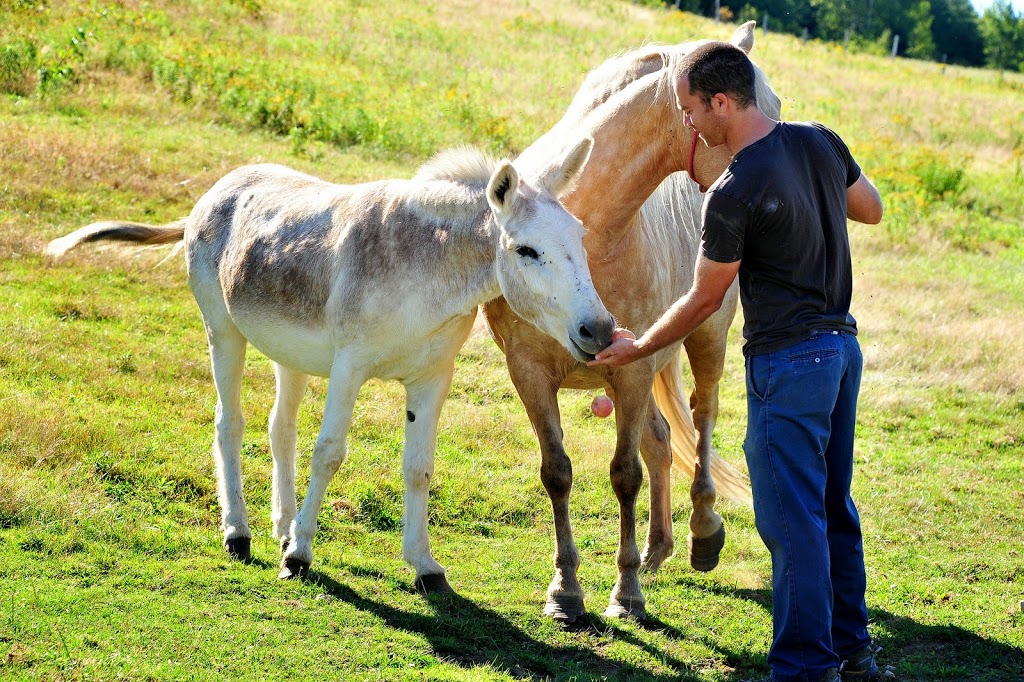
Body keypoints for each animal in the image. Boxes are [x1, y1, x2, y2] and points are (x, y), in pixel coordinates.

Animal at [48, 139, 610, 589]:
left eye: (582, 238)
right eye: (526, 250)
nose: (601, 331)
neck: (428, 270)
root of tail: (218, 189)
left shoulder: (432, 377)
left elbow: (419, 467)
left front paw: (423, 565)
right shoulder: (350, 366)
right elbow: (329, 453)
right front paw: (299, 556)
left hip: (288, 353)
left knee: (279, 429)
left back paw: (281, 525)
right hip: (223, 331)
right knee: (230, 423)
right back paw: (240, 533)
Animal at [483, 21, 778, 618]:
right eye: (760, 114)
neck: (591, 227)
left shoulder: (633, 370)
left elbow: (625, 475)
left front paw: (626, 595)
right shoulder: (529, 373)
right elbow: (557, 473)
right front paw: (566, 591)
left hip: (704, 341)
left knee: (701, 417)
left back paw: (701, 532)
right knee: (662, 439)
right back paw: (656, 550)